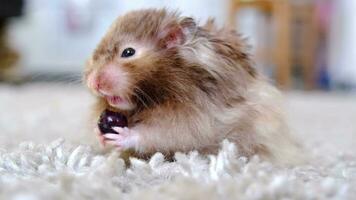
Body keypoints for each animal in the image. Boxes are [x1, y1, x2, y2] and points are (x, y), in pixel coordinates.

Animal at [84, 9, 304, 166]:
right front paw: (99, 134)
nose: (93, 82)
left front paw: (121, 135)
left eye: (128, 52)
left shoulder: (194, 119)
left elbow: (157, 133)